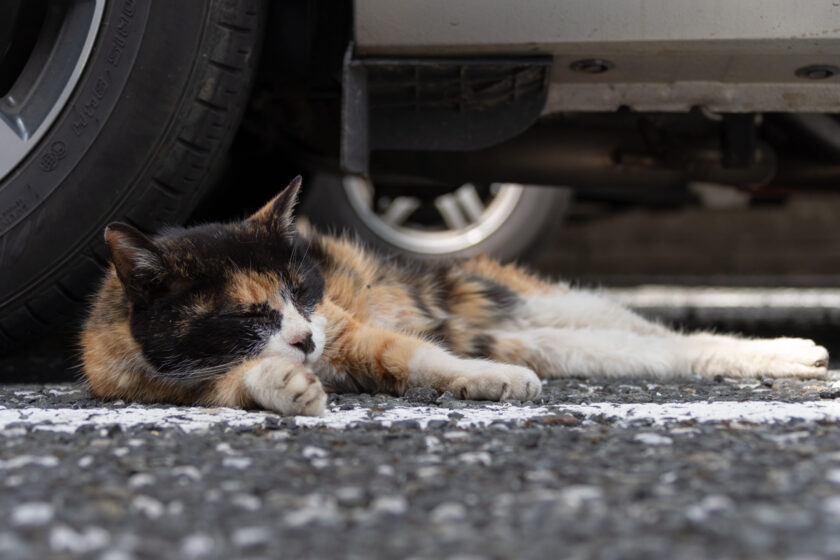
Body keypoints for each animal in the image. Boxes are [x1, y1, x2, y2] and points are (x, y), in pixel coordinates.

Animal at [82, 176, 832, 416]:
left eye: (301, 287)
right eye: (247, 313)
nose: (306, 338)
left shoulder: (350, 329)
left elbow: (414, 355)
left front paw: (491, 383)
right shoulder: (168, 385)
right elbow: (238, 384)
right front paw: (286, 386)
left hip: (532, 300)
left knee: (664, 336)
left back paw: (795, 350)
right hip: (537, 335)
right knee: (642, 351)